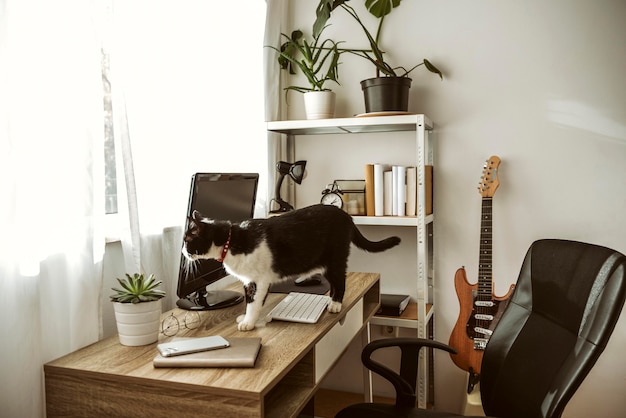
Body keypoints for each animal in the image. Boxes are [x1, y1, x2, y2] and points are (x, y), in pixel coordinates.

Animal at [180, 203, 400, 330]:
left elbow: (254, 302)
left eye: (187, 240)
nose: (182, 251)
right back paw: (330, 300)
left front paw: (248, 323)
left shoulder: (259, 280)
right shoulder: (248, 280)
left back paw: (335, 305)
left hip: (334, 258)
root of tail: (345, 214)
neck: (230, 241)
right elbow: (249, 301)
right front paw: (246, 317)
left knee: (340, 280)